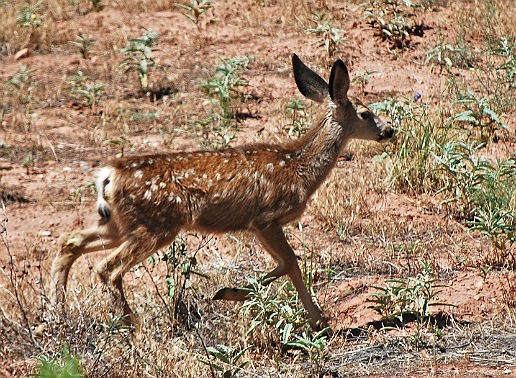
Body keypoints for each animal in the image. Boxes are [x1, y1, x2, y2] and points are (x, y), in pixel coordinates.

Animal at [50, 54, 394, 330]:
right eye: (366, 114)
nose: (389, 130)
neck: (299, 168)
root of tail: (109, 175)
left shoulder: (260, 224)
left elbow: (291, 266)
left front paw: (317, 320)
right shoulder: (265, 218)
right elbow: (291, 264)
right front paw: (233, 294)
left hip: (120, 222)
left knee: (70, 241)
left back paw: (58, 314)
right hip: (156, 225)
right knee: (108, 268)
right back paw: (134, 330)